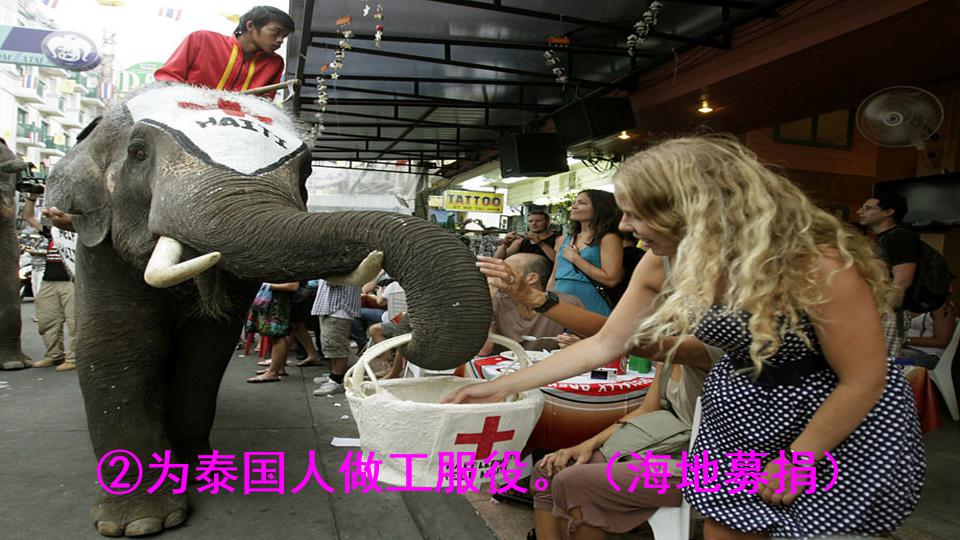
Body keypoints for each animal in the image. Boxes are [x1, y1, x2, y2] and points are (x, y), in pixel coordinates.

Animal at [46, 84, 492, 537]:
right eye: (138, 153)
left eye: (307, 169)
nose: (407, 331)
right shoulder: (98, 241)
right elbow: (118, 347)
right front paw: (139, 523)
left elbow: (206, 351)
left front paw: (196, 472)